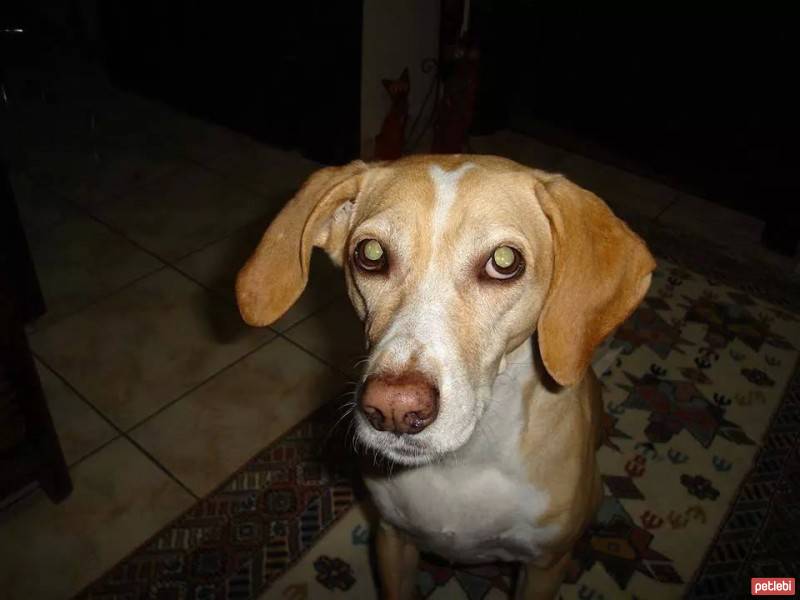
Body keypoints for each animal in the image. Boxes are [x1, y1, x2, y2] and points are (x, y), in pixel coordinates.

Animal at [236, 156, 656, 600]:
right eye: (370, 253)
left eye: (504, 261)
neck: (463, 463)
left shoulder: (544, 568)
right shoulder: (392, 540)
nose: (394, 409)